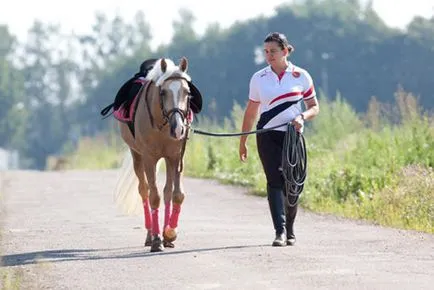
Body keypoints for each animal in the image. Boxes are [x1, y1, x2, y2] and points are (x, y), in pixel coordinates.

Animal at [112, 56, 200, 251]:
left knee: (167, 192)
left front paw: (170, 233)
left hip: (167, 159)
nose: (179, 129)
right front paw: (157, 239)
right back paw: (150, 234)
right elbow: (154, 197)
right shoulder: (149, 159)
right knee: (144, 190)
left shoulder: (176, 157)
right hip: (137, 156)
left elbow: (177, 195)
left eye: (187, 92)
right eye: (163, 92)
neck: (163, 123)